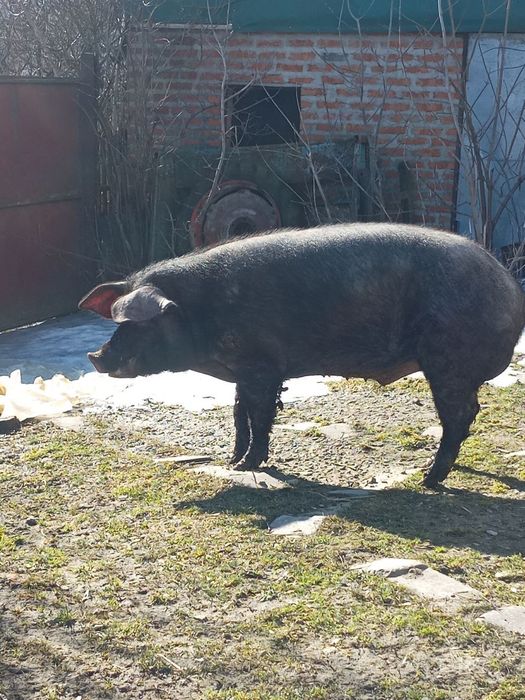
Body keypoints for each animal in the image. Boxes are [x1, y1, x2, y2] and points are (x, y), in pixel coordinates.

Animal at [79, 223, 525, 488]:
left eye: (138, 324)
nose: (95, 356)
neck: (199, 311)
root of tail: (507, 285)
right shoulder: (244, 369)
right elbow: (239, 414)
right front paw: (231, 458)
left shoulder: (262, 366)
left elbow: (260, 417)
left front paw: (245, 466)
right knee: (469, 414)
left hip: (447, 362)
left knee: (459, 415)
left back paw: (428, 480)